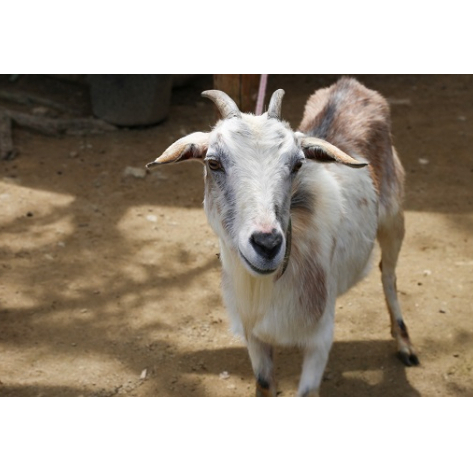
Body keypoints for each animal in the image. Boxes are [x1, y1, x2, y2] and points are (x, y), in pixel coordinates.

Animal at [147, 76, 416, 394]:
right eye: (213, 163)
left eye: (298, 164)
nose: (267, 244)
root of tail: (349, 85)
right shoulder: (253, 332)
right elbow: (264, 384)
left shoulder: (320, 338)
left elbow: (308, 391)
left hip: (394, 218)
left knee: (388, 274)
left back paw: (404, 344)